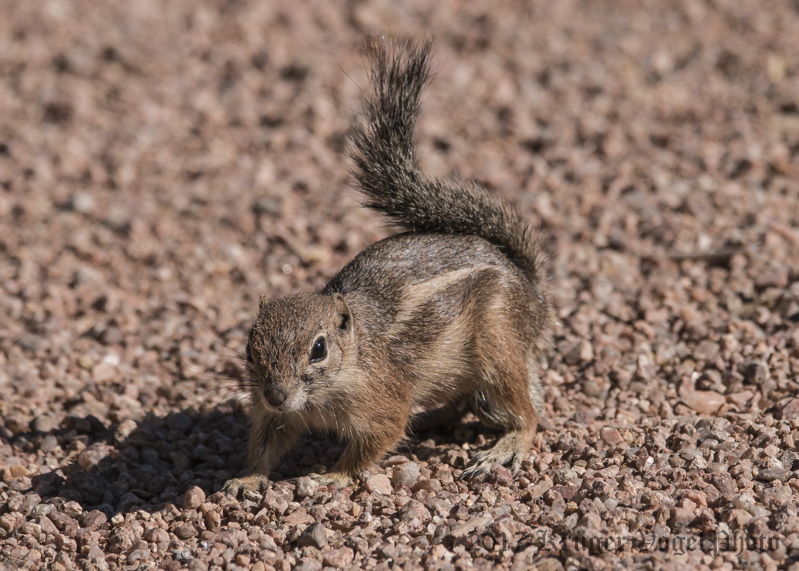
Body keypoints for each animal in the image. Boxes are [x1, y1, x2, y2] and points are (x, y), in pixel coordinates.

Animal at [222, 35, 552, 496]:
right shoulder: (277, 417)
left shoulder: (382, 401)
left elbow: (377, 438)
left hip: (498, 343)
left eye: (319, 349)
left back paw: (503, 447)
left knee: (527, 413)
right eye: (250, 349)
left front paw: (331, 476)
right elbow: (268, 443)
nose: (275, 394)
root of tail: (530, 284)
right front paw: (246, 477)